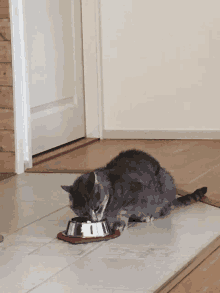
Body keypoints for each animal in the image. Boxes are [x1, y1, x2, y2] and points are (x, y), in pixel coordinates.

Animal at [61, 149, 207, 232]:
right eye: (83, 213)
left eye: (95, 207)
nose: (93, 220)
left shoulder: (136, 195)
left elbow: (123, 211)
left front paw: (119, 222)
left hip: (165, 184)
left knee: (164, 210)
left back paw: (148, 215)